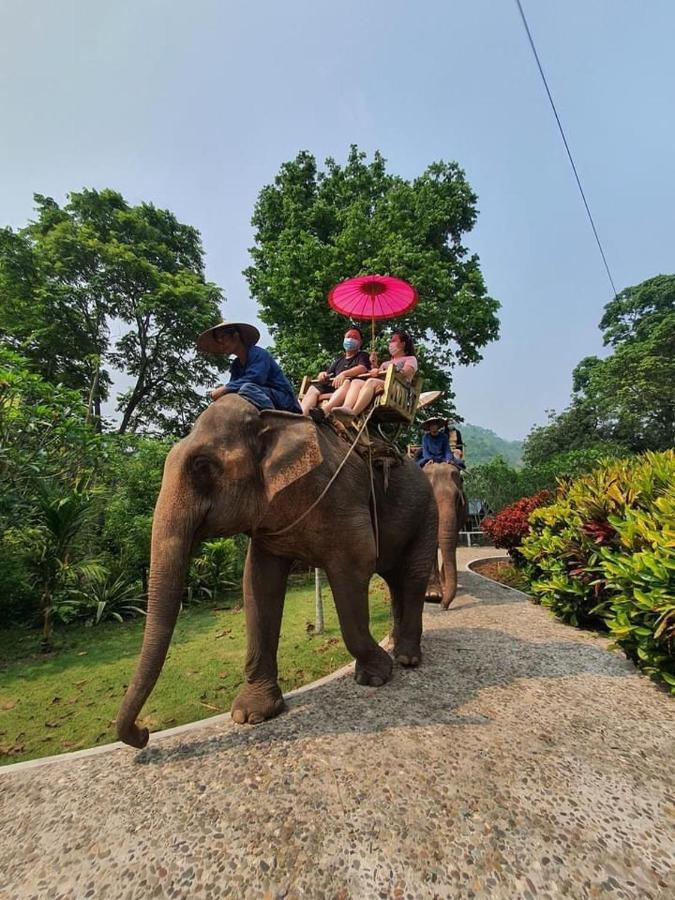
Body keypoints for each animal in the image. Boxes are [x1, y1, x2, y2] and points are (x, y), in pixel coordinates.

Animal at [116, 398, 438, 748]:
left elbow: (356, 565)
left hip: (428, 512)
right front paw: (251, 715)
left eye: (202, 465)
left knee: (413, 576)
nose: (143, 734)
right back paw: (396, 644)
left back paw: (406, 659)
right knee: (394, 579)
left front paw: (377, 676)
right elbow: (258, 582)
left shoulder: (342, 499)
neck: (273, 420)